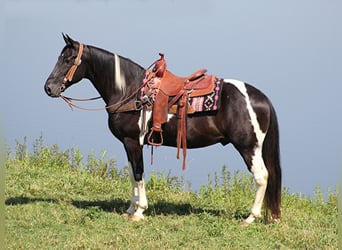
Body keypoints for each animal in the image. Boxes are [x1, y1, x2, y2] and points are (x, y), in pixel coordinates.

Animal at [44, 34, 280, 225]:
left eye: (67, 60)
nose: (48, 88)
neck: (130, 91)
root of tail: (261, 97)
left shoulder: (133, 141)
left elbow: (138, 173)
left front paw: (139, 211)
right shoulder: (128, 144)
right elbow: (132, 173)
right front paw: (130, 209)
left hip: (249, 148)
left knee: (262, 177)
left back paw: (250, 218)